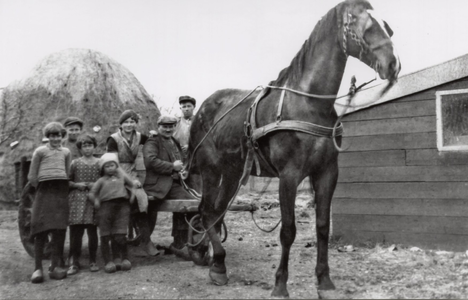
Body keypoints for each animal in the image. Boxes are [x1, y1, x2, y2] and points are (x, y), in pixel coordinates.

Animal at [188, 0, 400, 296]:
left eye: (386, 27)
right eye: (365, 26)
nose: (393, 64)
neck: (309, 104)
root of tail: (203, 108)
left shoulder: (326, 173)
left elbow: (322, 227)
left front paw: (324, 281)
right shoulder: (288, 176)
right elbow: (288, 230)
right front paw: (280, 284)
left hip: (232, 173)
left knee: (217, 212)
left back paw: (216, 262)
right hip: (210, 171)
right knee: (206, 212)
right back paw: (216, 262)